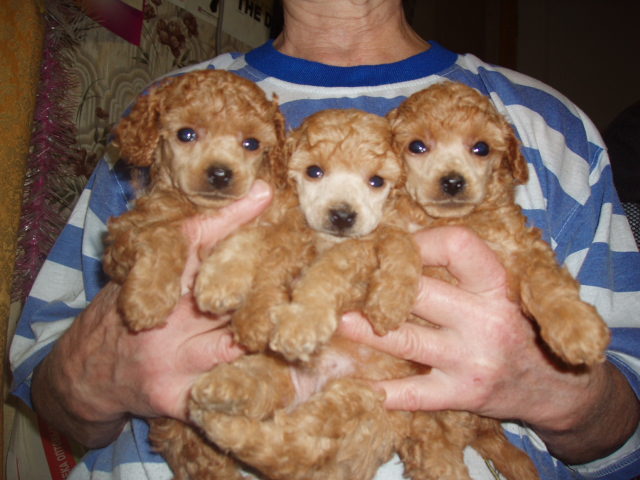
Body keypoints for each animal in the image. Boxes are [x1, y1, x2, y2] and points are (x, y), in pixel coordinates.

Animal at [185, 108, 539, 480]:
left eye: (376, 182)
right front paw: (226, 283)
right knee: (267, 411)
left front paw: (302, 322)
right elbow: (259, 241)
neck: (324, 240)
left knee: (299, 442)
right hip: (275, 373)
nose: (342, 215)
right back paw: (215, 395)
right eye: (314, 172)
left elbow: (327, 272)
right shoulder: (289, 228)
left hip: (364, 400)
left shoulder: (361, 252)